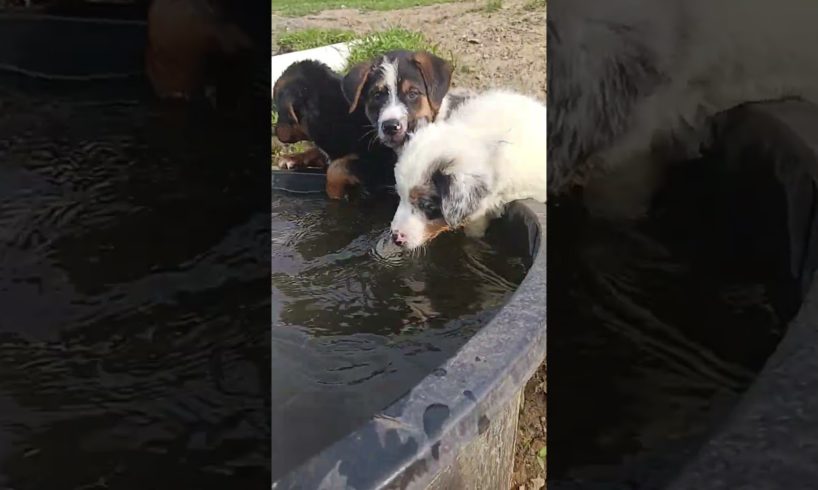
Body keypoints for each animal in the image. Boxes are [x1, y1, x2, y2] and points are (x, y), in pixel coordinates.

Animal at [272, 60, 396, 198]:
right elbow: (319, 153)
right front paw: (291, 158)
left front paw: (336, 192)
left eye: (277, 107)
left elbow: (336, 167)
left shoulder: (379, 161)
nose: (274, 131)